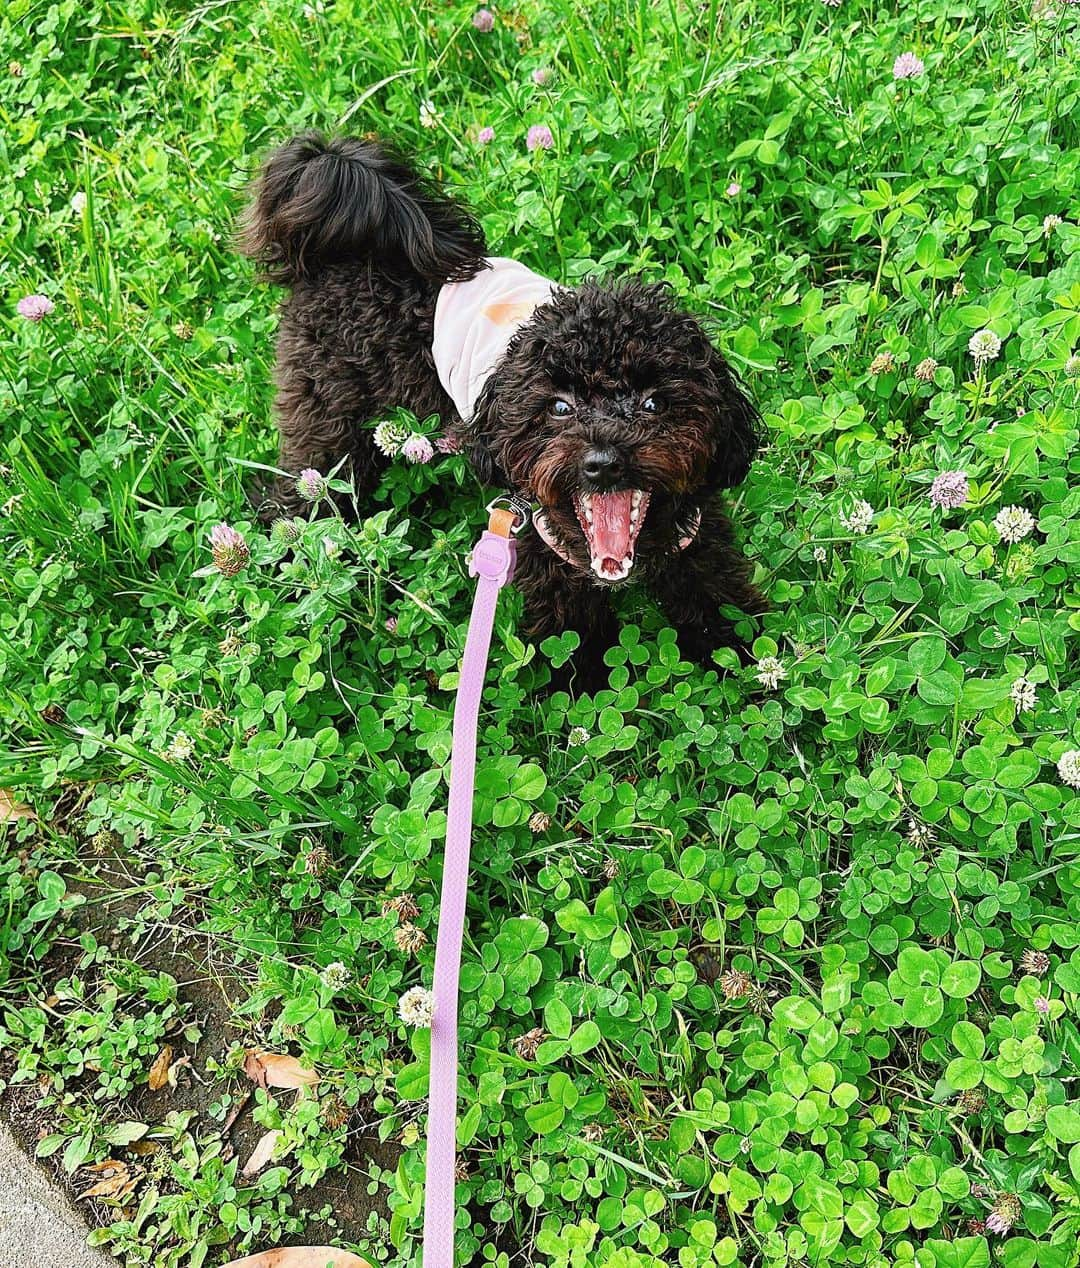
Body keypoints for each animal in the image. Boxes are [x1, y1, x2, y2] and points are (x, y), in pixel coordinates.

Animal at [242, 133, 765, 689]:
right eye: (559, 406)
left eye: (653, 403)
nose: (603, 463)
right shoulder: (548, 560)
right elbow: (575, 647)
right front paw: (577, 695)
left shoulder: (699, 540)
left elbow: (721, 608)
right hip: (327, 422)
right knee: (299, 495)